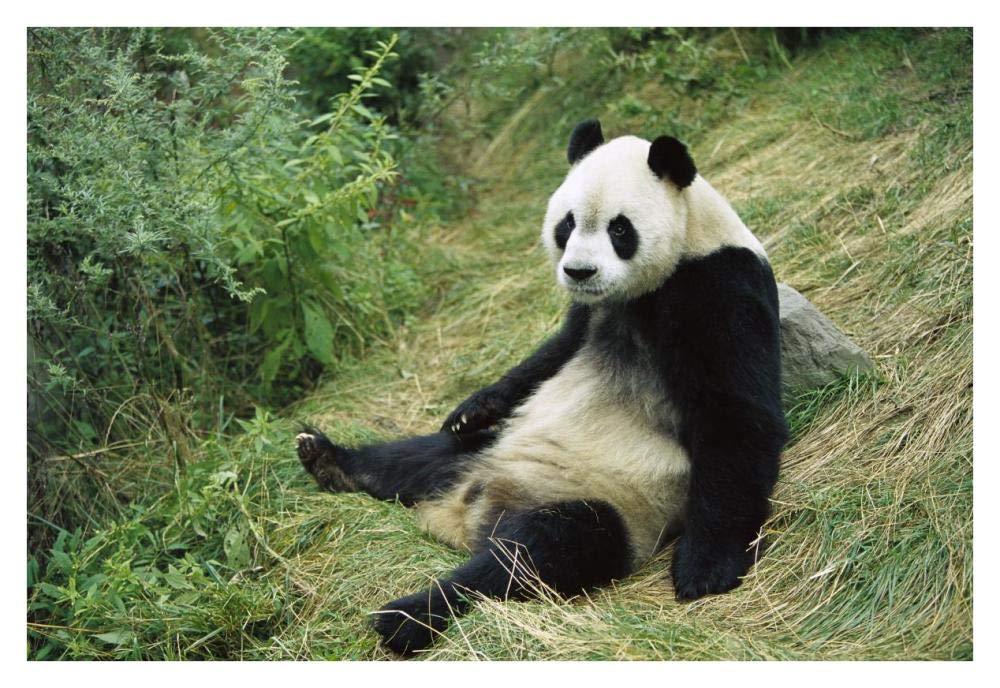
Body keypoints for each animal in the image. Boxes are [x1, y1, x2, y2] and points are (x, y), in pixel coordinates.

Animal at [295, 119, 788, 655]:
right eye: (566, 224)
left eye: (619, 229)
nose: (579, 271)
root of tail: (466, 516)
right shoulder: (589, 315)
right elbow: (550, 356)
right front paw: (472, 408)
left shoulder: (718, 287)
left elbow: (736, 415)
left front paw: (706, 568)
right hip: (489, 451)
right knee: (422, 456)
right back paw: (329, 459)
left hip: (619, 507)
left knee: (540, 552)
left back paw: (408, 616)